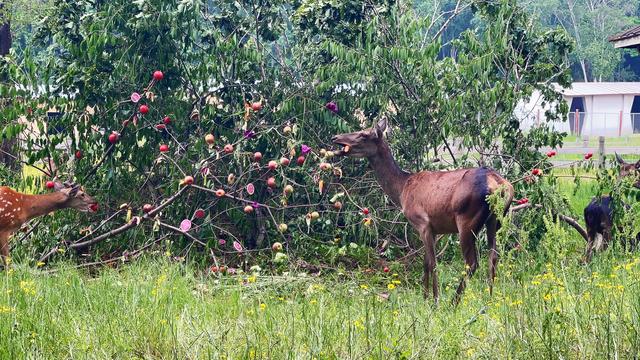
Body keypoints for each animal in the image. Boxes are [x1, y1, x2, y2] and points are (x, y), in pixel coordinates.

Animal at [332, 119, 512, 302]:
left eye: (363, 134)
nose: (335, 137)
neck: (402, 190)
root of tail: (499, 185)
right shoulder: (434, 229)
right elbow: (425, 263)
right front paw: (425, 298)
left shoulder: (422, 223)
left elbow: (433, 264)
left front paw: (435, 301)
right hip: (496, 219)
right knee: (494, 256)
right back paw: (489, 299)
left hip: (466, 220)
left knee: (472, 263)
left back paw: (454, 302)